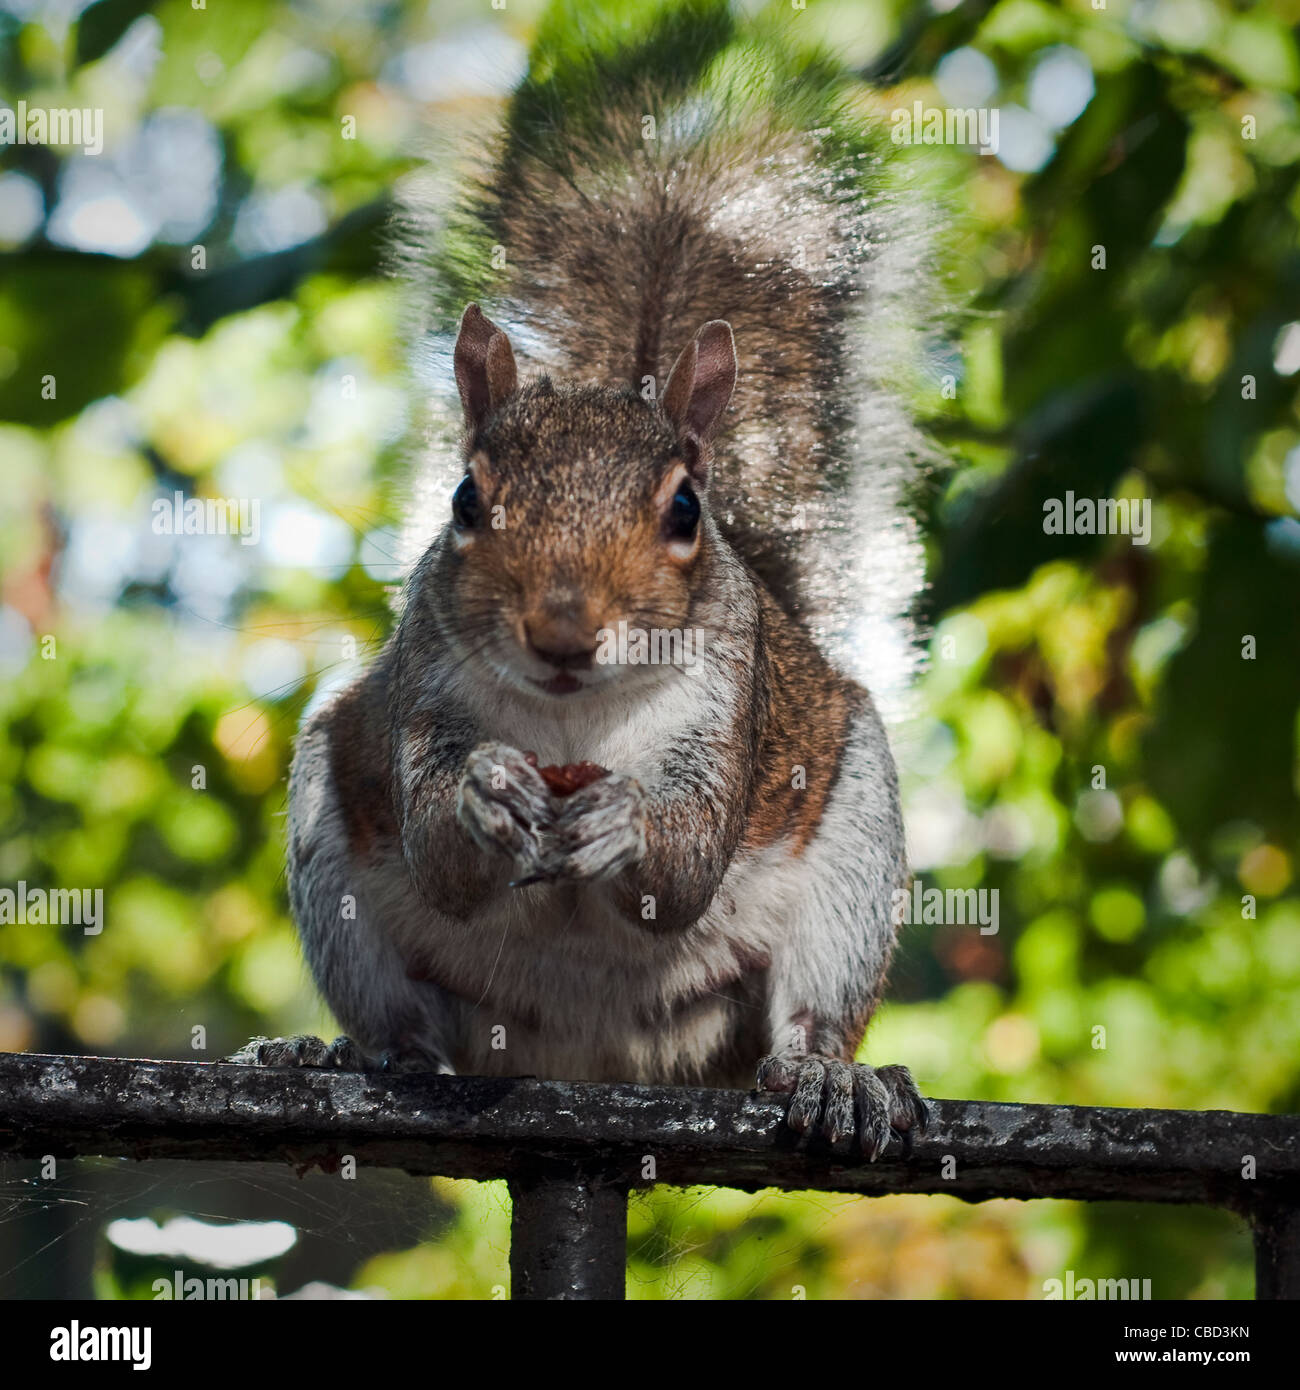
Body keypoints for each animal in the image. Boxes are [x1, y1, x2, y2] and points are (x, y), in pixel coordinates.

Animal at [234, 0, 935, 1159]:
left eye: (687, 512)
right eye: (465, 502)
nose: (562, 636)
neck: (571, 724)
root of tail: (592, 1058)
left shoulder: (728, 703)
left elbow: (684, 868)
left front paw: (627, 825)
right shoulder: (425, 690)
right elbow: (440, 850)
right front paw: (486, 795)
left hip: (850, 857)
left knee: (805, 1015)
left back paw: (833, 1078)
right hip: (333, 848)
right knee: (409, 1027)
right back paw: (338, 1054)